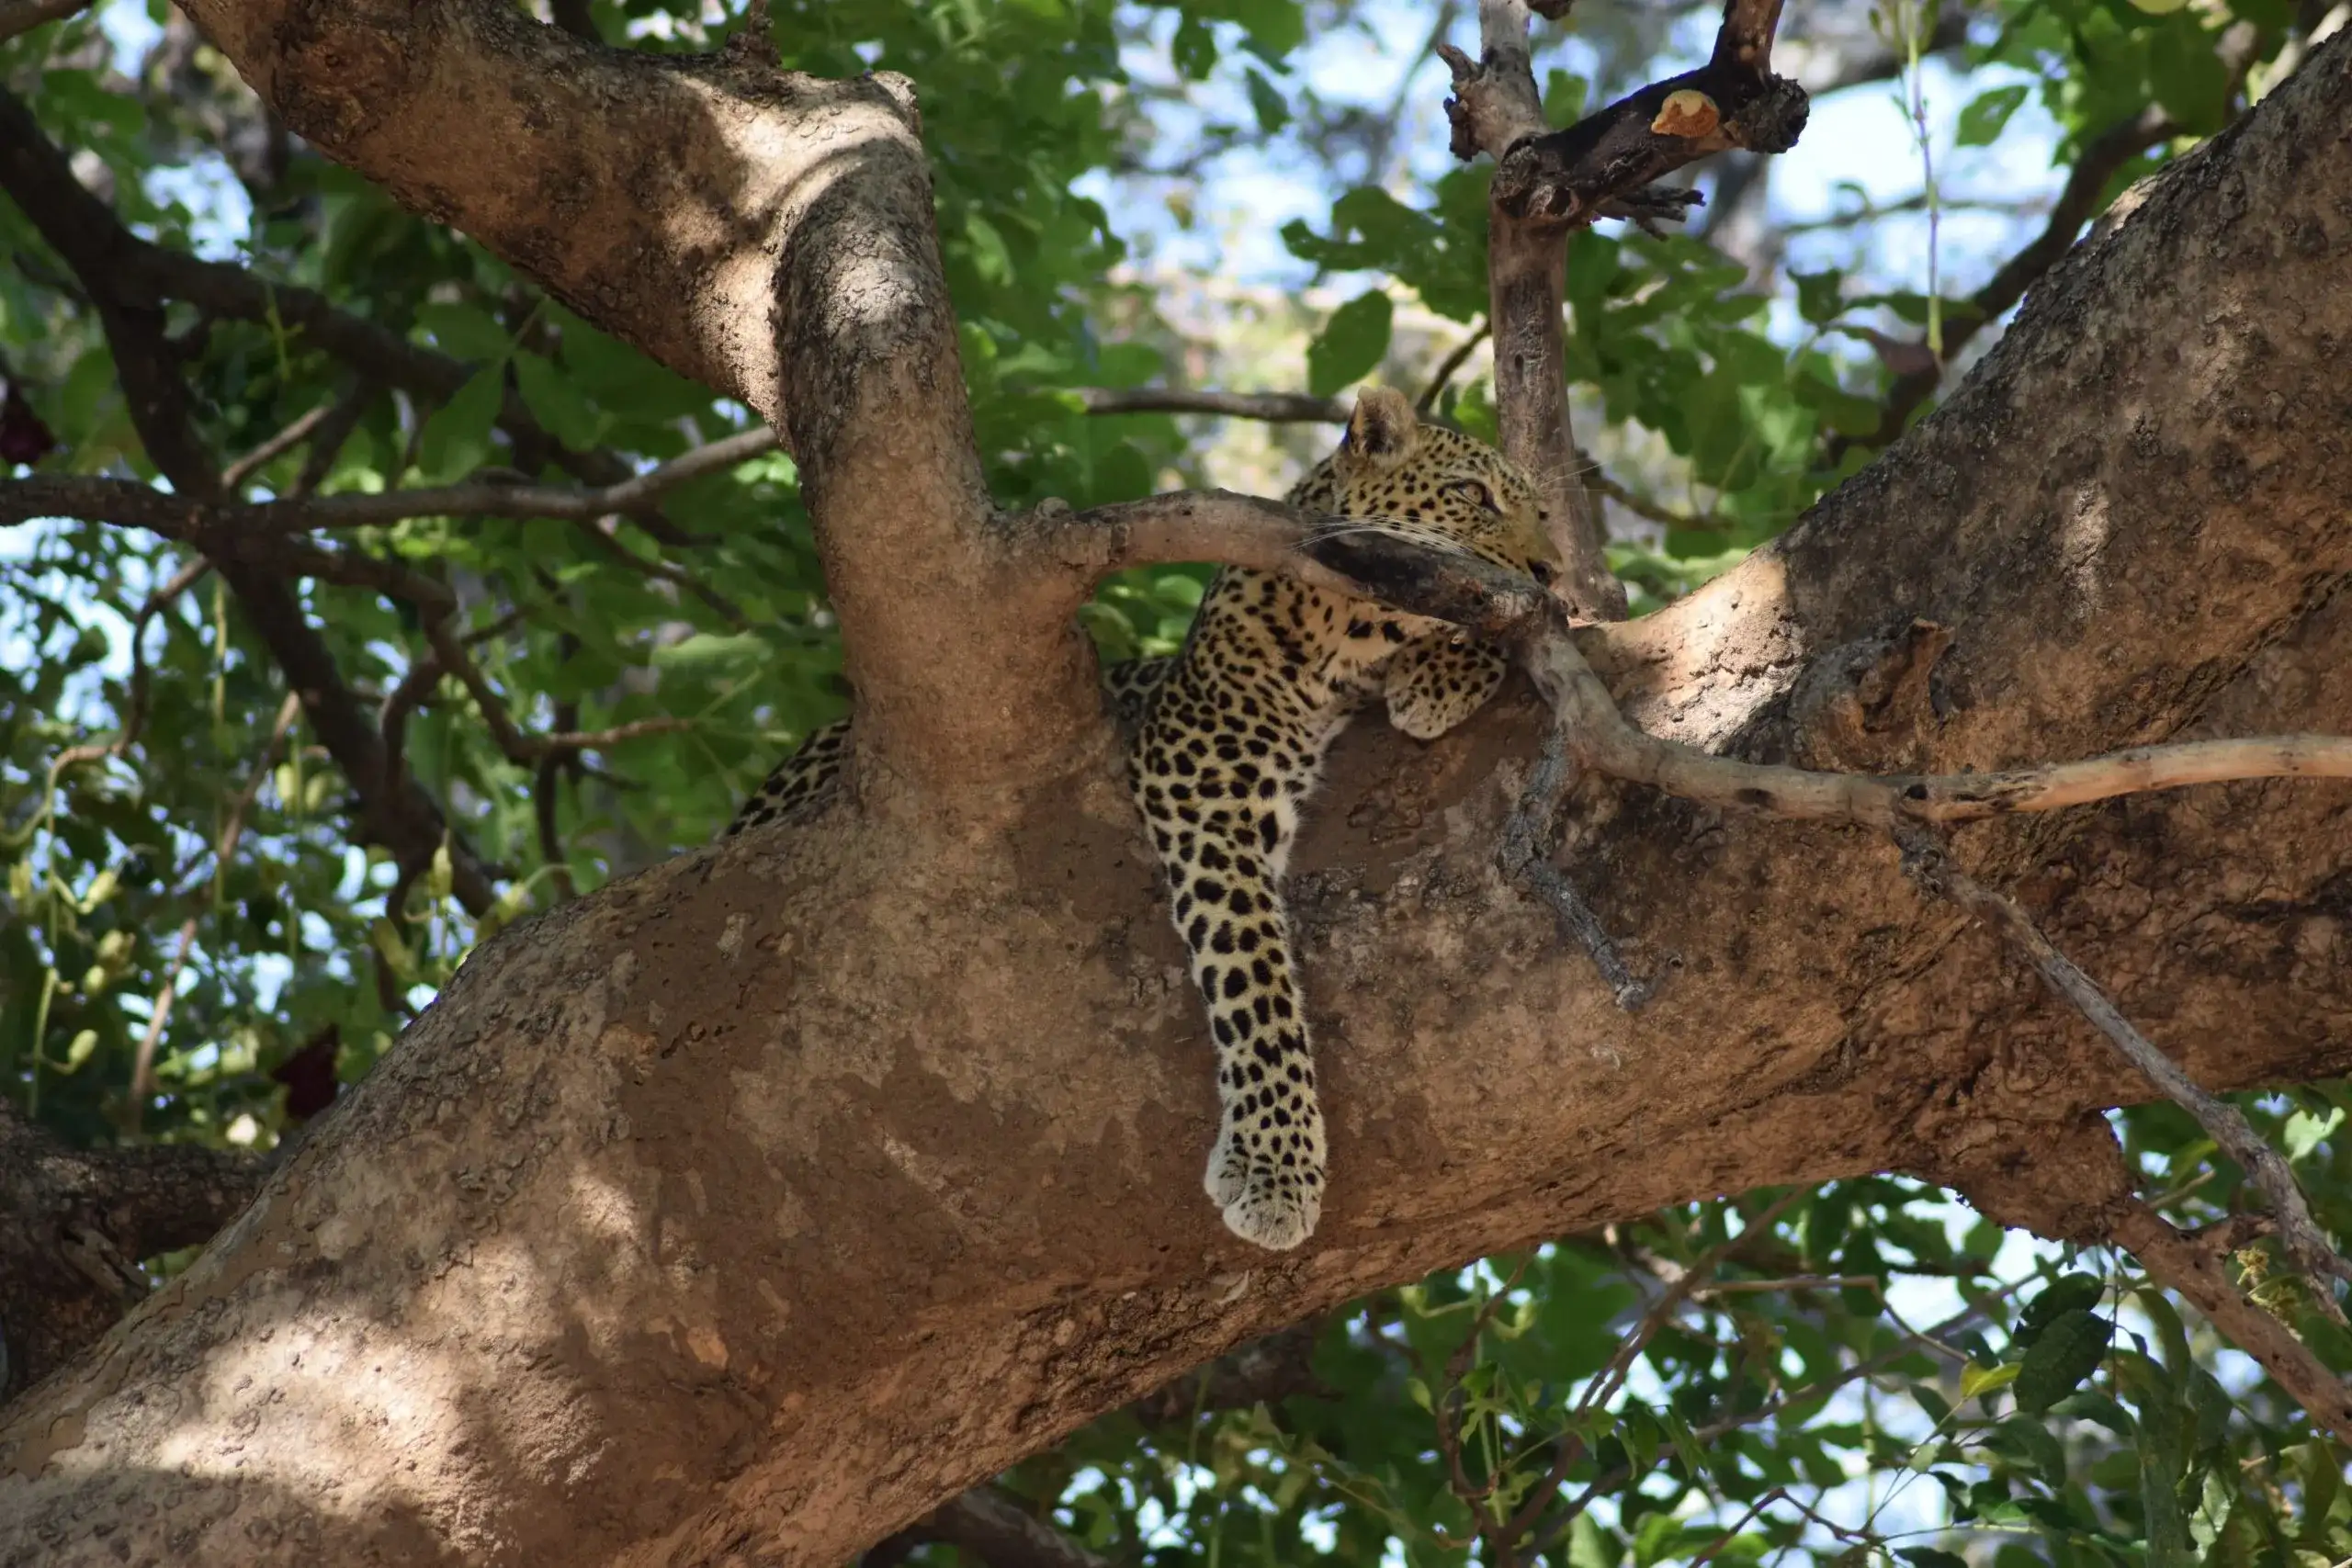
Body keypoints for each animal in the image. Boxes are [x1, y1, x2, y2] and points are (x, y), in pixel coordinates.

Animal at [725, 386, 1564, 1251]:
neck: (1347, 641)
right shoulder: (1204, 773)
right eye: (1472, 494)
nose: (1551, 571)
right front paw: (1275, 1168)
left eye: (1544, 516)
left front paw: (1448, 669)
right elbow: (1255, 978)